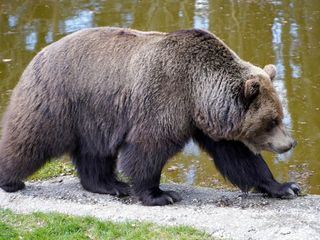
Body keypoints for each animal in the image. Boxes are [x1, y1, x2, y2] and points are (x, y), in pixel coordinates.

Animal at [0, 27, 300, 204]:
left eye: (280, 115)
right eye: (272, 121)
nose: (289, 144)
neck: (197, 92)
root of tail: (39, 53)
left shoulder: (209, 123)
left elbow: (239, 157)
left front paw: (285, 186)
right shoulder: (164, 98)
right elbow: (147, 148)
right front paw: (160, 194)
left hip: (94, 116)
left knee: (94, 153)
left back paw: (110, 184)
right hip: (60, 100)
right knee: (30, 139)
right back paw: (10, 180)